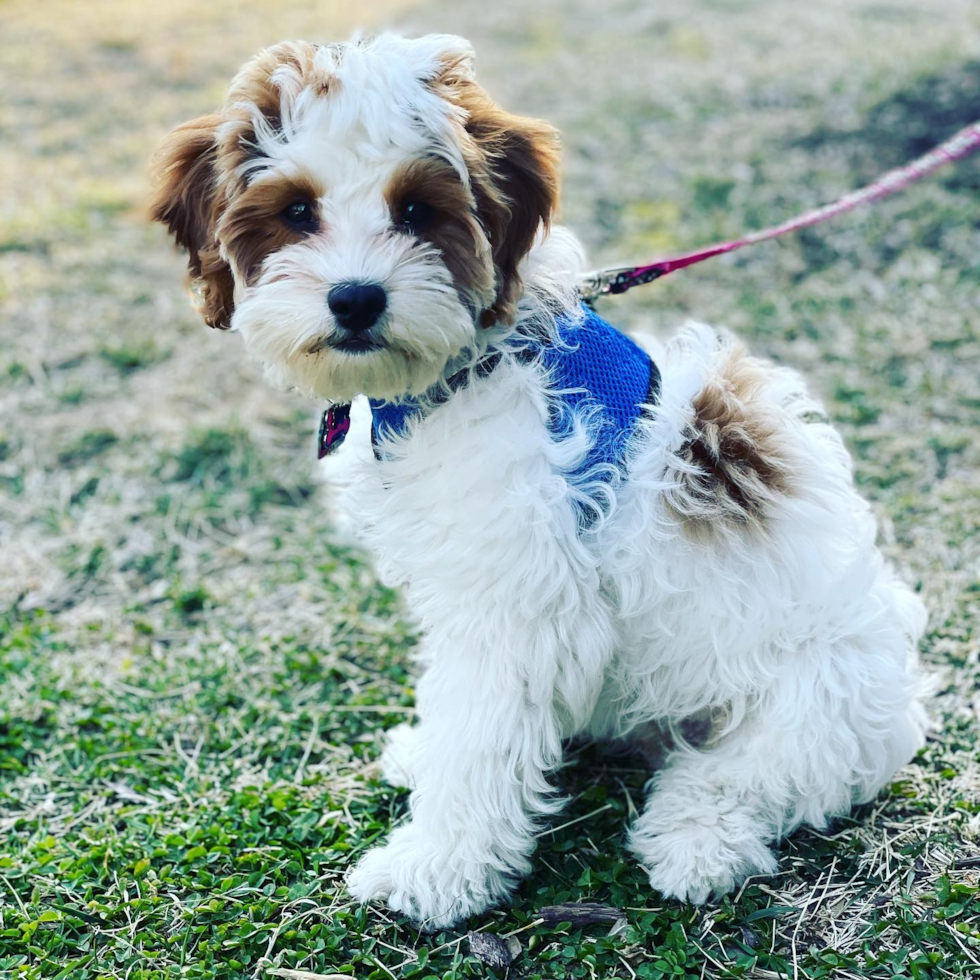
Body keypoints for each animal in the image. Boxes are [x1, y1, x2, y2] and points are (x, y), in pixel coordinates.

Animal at [151, 34, 928, 932]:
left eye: (416, 211)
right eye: (298, 211)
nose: (355, 299)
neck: (467, 366)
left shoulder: (519, 601)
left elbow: (482, 733)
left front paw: (436, 869)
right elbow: (465, 713)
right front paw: (430, 769)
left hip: (820, 701)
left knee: (750, 776)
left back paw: (696, 842)